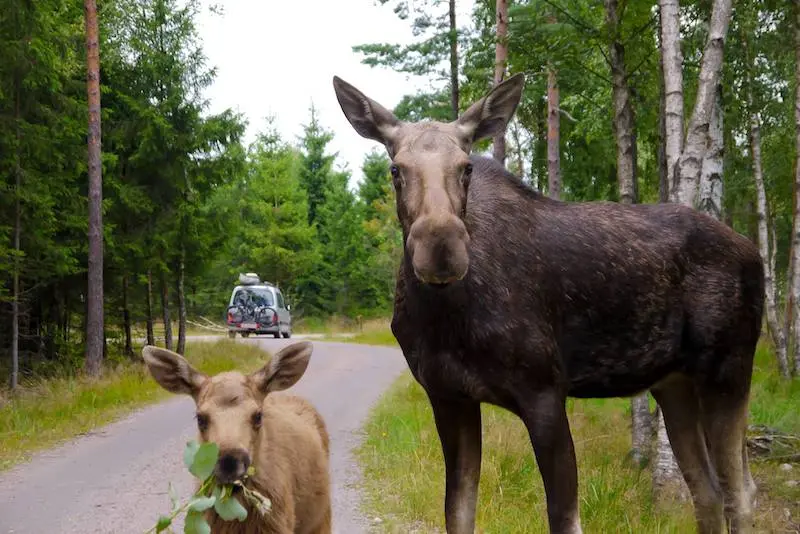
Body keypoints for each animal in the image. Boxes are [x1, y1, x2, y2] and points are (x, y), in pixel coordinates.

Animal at [332, 72, 764, 534]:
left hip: (727, 371)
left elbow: (563, 516)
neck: (447, 319)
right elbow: (457, 511)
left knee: (740, 494)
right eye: (396, 169)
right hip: (674, 384)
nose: (441, 245)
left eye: (466, 167)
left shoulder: (544, 392)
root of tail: (754, 253)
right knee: (707, 492)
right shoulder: (448, 396)